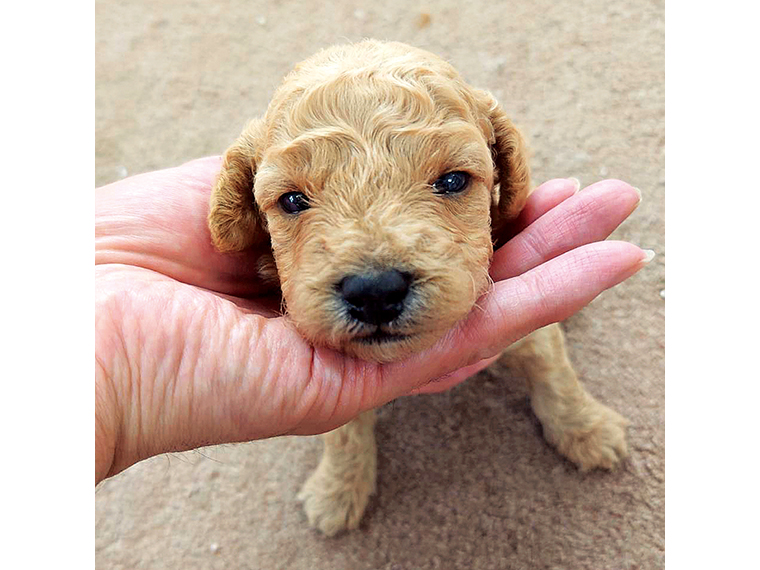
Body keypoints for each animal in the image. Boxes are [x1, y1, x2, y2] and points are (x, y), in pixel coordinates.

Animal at [205, 40, 628, 532]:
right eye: (292, 200)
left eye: (453, 180)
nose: (374, 292)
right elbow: (343, 433)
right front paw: (336, 492)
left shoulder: (532, 336)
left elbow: (556, 376)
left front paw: (591, 432)